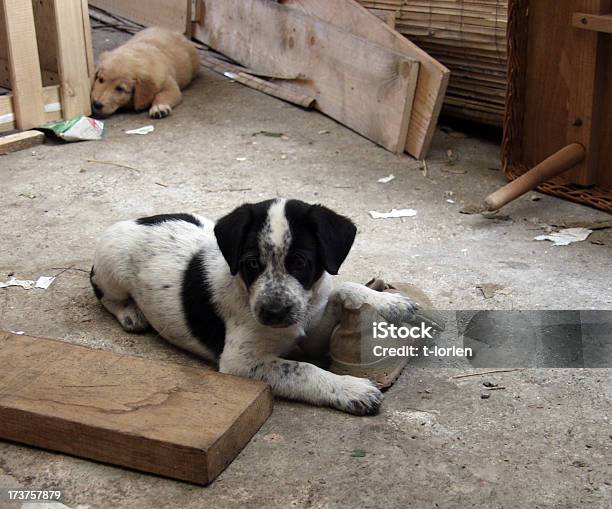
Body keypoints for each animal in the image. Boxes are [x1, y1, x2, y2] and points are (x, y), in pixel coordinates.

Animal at [89, 197, 416, 412]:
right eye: (251, 263)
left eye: (300, 262)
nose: (273, 313)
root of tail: (133, 221)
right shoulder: (241, 362)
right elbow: (302, 369)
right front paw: (351, 389)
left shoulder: (313, 328)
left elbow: (342, 289)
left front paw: (389, 301)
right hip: (112, 270)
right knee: (105, 294)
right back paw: (131, 314)